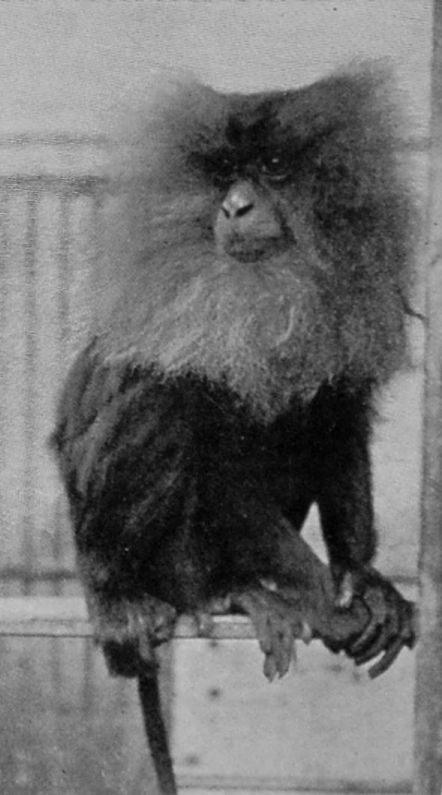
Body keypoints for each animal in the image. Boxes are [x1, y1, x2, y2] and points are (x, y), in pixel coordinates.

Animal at [51, 64, 416, 794]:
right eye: (224, 174)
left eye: (272, 168)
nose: (236, 207)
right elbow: (217, 463)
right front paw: (325, 604)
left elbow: (339, 423)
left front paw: (363, 579)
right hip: (146, 552)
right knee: (158, 394)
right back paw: (175, 594)